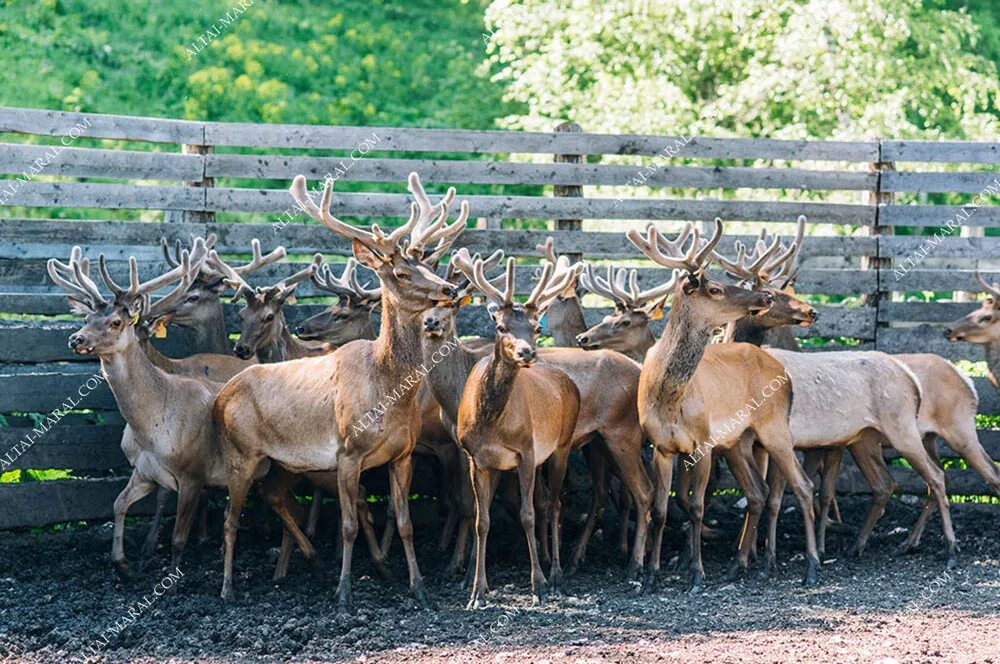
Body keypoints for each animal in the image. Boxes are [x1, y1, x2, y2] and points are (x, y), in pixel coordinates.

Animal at [215, 172, 464, 608]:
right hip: (240, 452)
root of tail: (219, 398)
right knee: (230, 519)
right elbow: (349, 524)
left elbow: (405, 522)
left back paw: (304, 563)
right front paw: (344, 592)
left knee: (273, 498)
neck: (387, 392)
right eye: (402, 273)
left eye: (424, 265)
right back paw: (228, 588)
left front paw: (419, 588)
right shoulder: (347, 453)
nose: (449, 289)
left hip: (283, 462)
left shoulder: (403, 455)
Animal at [450, 249, 584, 608]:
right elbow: (483, 520)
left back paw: (556, 574)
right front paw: (477, 591)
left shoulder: (525, 451)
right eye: (500, 325)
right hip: (535, 460)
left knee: (554, 504)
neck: (491, 424)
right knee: (544, 502)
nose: (527, 352)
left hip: (561, 446)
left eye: (536, 327)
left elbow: (527, 515)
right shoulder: (476, 459)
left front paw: (537, 585)